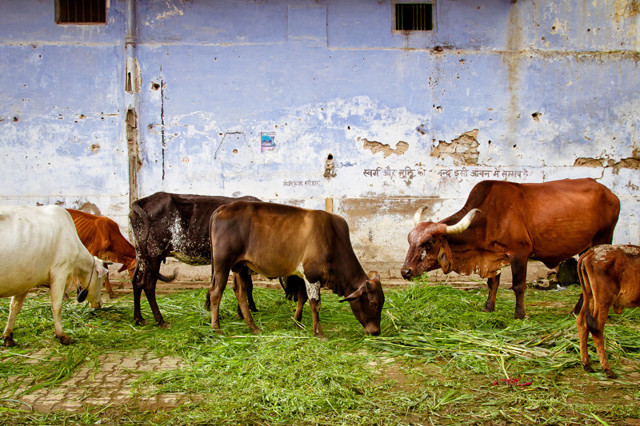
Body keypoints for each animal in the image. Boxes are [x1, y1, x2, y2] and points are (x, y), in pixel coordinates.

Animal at [0, 204, 107, 346]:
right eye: (102, 280)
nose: (99, 304)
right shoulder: (60, 272)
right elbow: (57, 307)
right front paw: (62, 336)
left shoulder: (24, 281)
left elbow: (14, 307)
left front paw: (8, 337)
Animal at [129, 191, 258, 328]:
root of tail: (145, 200)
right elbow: (247, 285)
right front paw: (247, 310)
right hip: (155, 253)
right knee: (148, 285)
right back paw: (160, 320)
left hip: (142, 255)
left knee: (137, 281)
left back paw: (139, 318)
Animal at [209, 201, 384, 338]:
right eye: (373, 303)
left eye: (382, 303)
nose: (376, 332)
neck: (333, 238)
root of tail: (223, 208)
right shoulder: (312, 274)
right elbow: (315, 303)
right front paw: (319, 332)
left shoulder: (302, 276)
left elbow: (302, 298)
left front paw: (297, 322)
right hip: (222, 263)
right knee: (216, 293)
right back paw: (216, 328)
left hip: (241, 267)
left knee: (241, 293)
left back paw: (253, 327)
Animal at [400, 177, 620, 320]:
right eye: (409, 239)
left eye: (429, 242)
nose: (405, 271)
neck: (490, 216)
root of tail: (611, 194)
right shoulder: (493, 256)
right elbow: (493, 283)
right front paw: (488, 308)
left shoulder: (519, 253)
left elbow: (518, 286)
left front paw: (519, 315)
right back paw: (577, 311)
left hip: (600, 241)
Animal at [576, 245, 640, 378]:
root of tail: (591, 252)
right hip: (603, 301)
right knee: (596, 328)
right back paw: (607, 369)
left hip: (590, 297)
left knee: (581, 323)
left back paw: (586, 364)